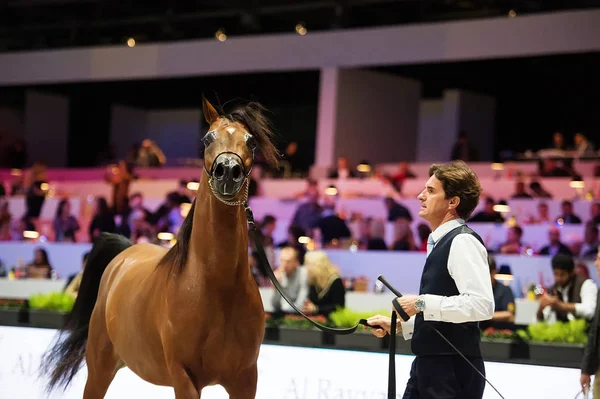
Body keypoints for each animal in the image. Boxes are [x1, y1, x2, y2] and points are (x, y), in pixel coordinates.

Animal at [42, 97, 282, 399]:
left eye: (251, 142)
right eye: (207, 139)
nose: (227, 171)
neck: (215, 286)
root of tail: (125, 254)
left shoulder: (246, 380)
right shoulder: (184, 377)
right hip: (99, 367)